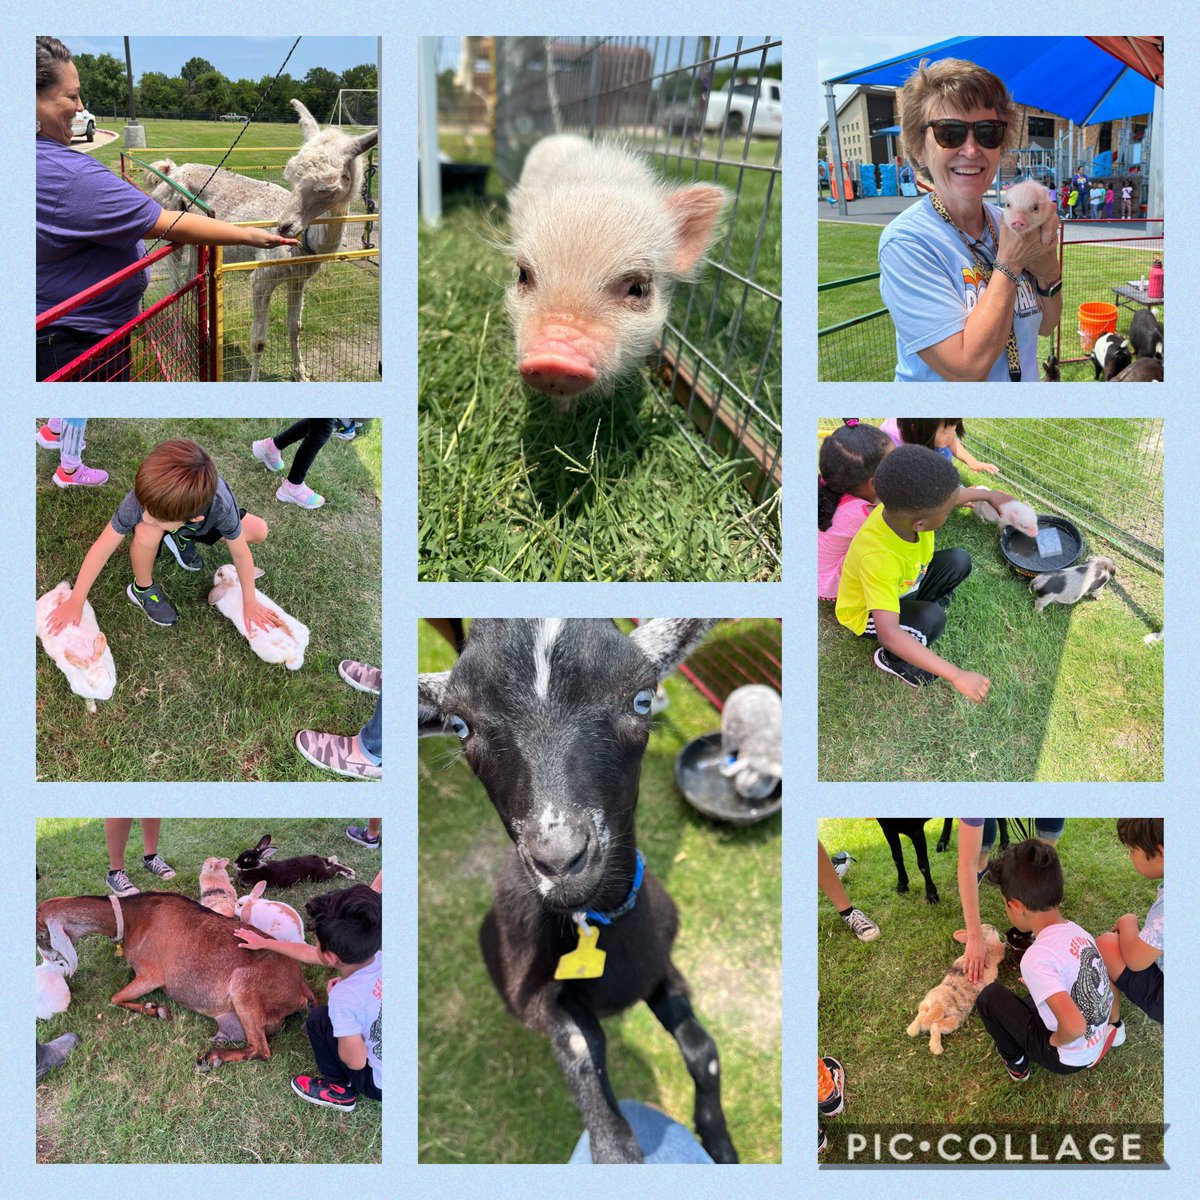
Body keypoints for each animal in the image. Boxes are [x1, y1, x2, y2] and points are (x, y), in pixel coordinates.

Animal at [35, 580, 116, 710]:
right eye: (90, 684)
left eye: (109, 674)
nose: (107, 695)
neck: (86, 656)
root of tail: (58, 590)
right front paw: (92, 708)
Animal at [39, 892, 314, 1070]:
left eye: (40, 934)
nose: (50, 960)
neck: (133, 918)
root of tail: (302, 988)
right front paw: (154, 1008)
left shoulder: (152, 974)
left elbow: (114, 997)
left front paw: (156, 1009)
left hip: (244, 988)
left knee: (261, 1049)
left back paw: (213, 1058)